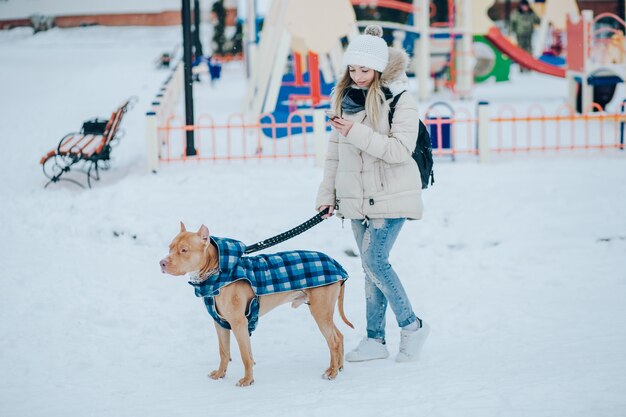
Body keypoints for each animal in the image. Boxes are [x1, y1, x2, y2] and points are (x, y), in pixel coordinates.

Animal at [158, 223, 354, 386]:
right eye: (170, 247)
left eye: (184, 250)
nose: (162, 263)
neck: (217, 272)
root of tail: (337, 265)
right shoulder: (220, 323)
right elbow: (223, 351)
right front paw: (220, 374)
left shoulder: (239, 323)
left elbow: (245, 355)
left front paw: (247, 380)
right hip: (324, 312)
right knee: (339, 336)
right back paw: (338, 367)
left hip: (320, 311)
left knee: (333, 340)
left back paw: (332, 373)